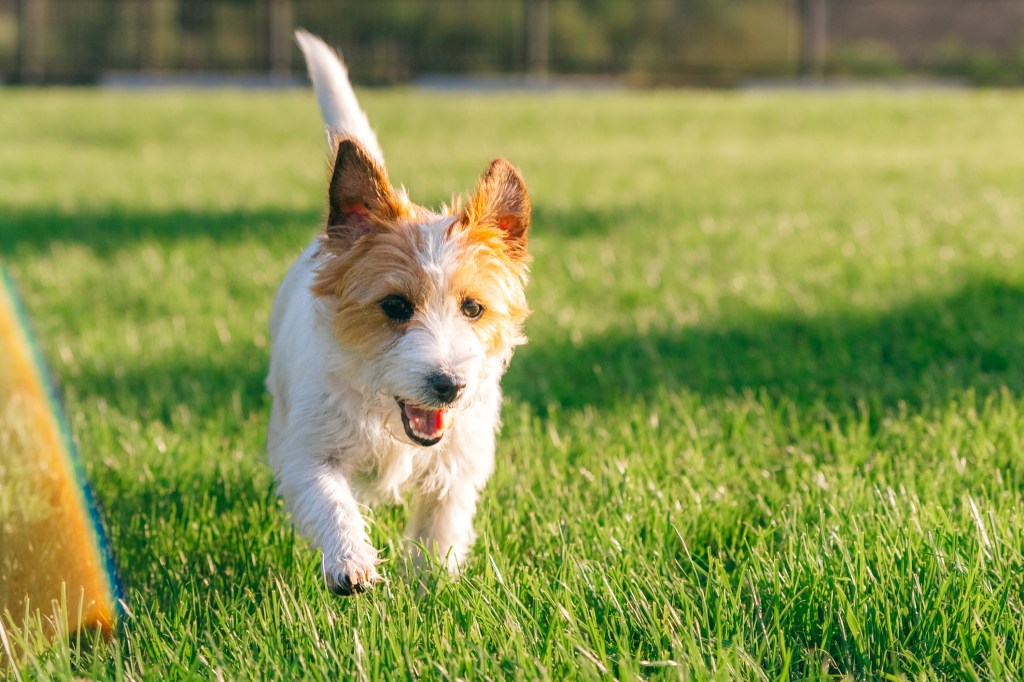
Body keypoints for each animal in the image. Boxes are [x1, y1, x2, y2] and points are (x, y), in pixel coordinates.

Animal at [268, 31, 532, 593]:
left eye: (473, 308)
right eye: (394, 305)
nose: (448, 385)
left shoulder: (458, 467)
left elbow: (440, 530)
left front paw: (432, 588)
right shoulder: (310, 453)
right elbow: (331, 501)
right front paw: (350, 562)